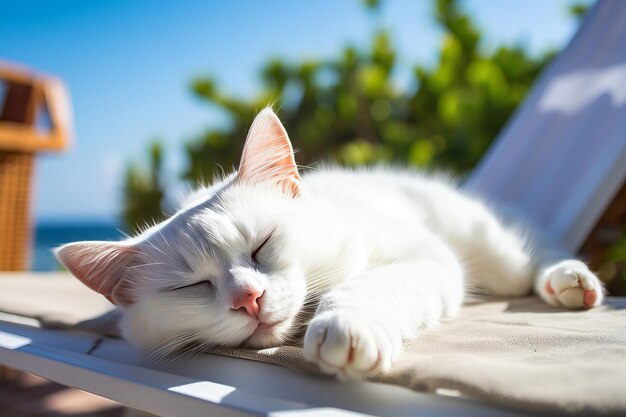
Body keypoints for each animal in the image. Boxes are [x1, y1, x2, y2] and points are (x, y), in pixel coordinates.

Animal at [56, 109, 604, 378]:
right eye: (190, 286)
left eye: (262, 244)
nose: (248, 298)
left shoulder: (425, 256)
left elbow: (364, 286)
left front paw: (346, 328)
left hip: (495, 252)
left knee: (536, 258)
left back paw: (570, 282)